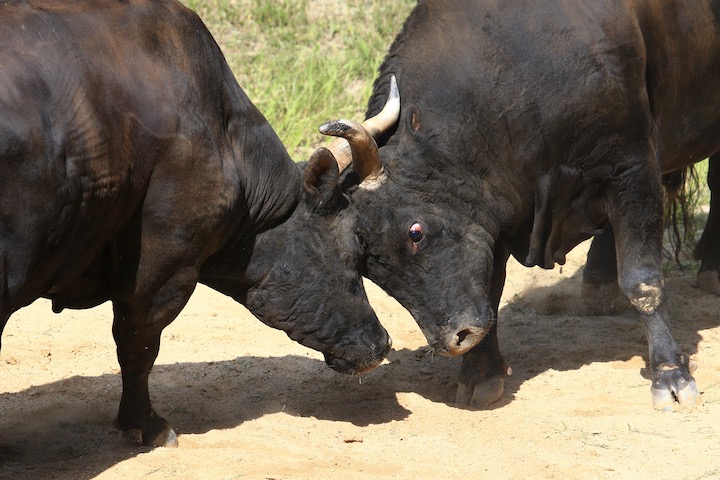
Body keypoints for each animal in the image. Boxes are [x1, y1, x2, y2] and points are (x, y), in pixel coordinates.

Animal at [320, 0, 720, 410]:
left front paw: (671, 374)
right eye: (370, 268)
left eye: (415, 232)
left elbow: (643, 279)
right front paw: (481, 374)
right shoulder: (493, 207)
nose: (456, 338)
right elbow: (490, 285)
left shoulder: (633, 166)